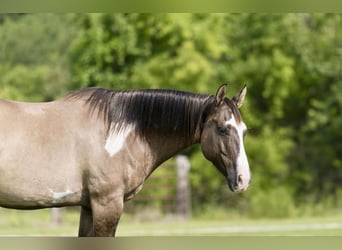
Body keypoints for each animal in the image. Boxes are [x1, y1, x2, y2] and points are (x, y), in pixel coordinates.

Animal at [0, 84, 251, 236]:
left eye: (244, 131)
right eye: (223, 129)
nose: (243, 179)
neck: (119, 132)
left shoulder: (89, 206)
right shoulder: (107, 204)